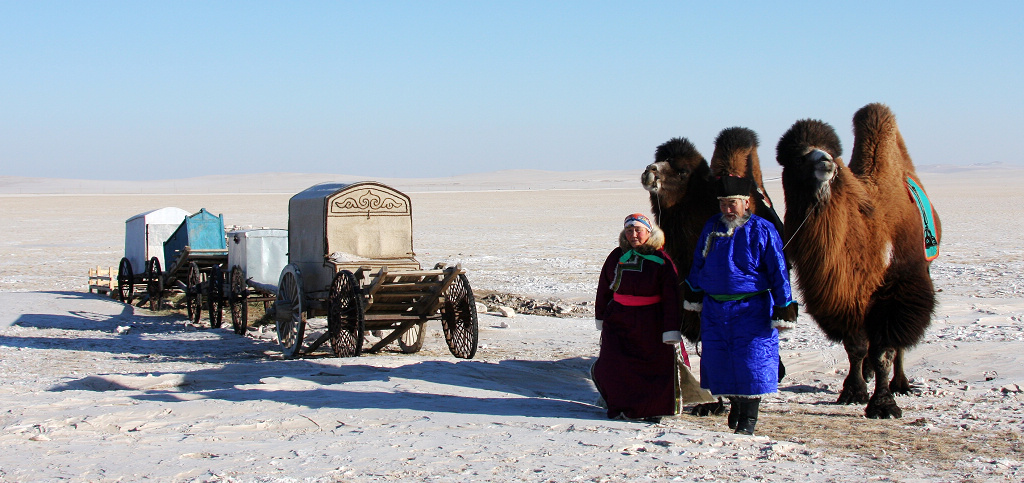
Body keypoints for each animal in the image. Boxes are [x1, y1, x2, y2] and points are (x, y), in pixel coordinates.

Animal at [774, 102, 937, 419]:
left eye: (830, 151)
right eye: (799, 157)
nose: (826, 162)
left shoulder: (896, 289)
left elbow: (885, 349)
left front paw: (884, 405)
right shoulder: (845, 295)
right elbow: (856, 346)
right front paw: (853, 391)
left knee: (899, 343)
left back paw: (901, 384)